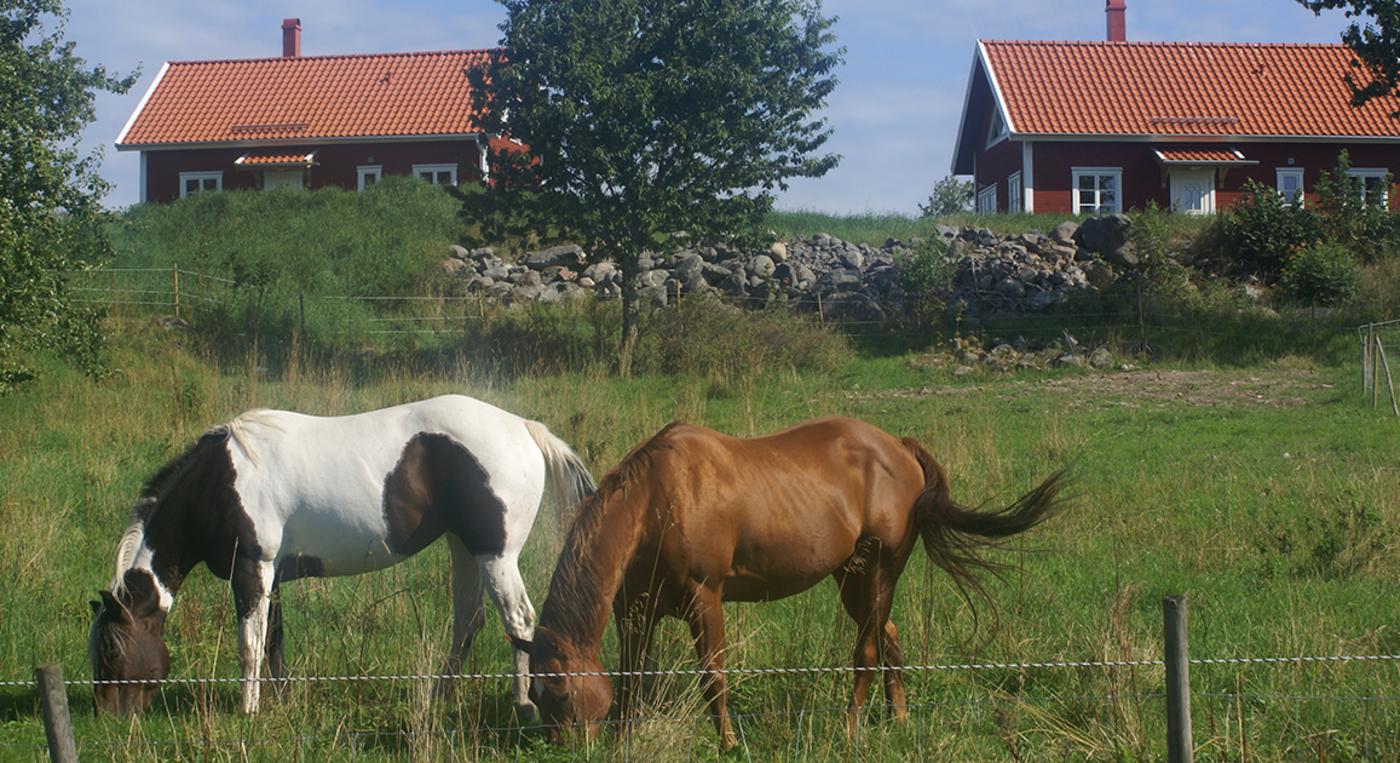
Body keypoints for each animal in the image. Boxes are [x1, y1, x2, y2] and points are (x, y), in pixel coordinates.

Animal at [87, 394, 590, 716]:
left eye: (112, 649)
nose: (109, 717)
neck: (220, 483)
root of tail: (524, 428)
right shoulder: (271, 577)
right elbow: (273, 641)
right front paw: (281, 701)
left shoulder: (251, 570)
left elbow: (250, 646)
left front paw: (249, 710)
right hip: (463, 548)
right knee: (468, 623)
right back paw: (440, 697)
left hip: (495, 556)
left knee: (519, 621)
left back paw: (522, 701)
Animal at [523, 417, 1058, 744]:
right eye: (538, 695)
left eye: (562, 693)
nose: (564, 745)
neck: (657, 500)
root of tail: (900, 449)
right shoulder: (636, 612)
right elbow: (634, 679)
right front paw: (624, 739)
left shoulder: (704, 600)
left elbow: (713, 676)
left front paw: (727, 743)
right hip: (855, 582)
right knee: (888, 636)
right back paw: (899, 718)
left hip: (878, 573)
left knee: (866, 651)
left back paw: (849, 730)